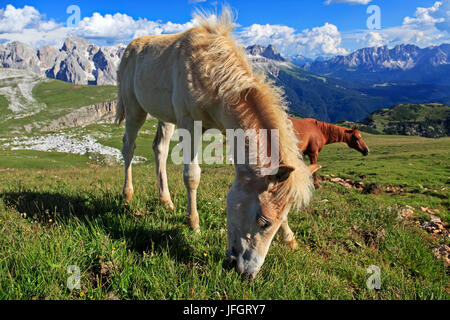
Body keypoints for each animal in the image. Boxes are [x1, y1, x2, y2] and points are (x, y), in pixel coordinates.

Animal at [117, 8, 316, 278]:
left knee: (159, 148)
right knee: (129, 147)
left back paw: (166, 201)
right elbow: (192, 176)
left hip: (164, 116)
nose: (249, 274)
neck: (212, 73)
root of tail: (130, 47)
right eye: (262, 221)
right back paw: (127, 195)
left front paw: (290, 238)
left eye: (274, 221)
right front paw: (194, 225)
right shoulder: (189, 124)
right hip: (134, 108)